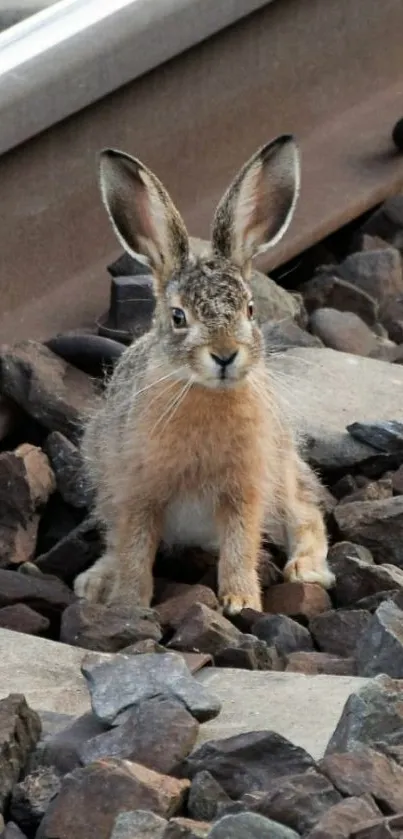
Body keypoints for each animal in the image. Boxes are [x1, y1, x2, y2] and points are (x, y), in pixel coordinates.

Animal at [74, 135, 336, 612]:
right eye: (178, 317)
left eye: (250, 310)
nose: (226, 355)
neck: (201, 392)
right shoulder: (137, 491)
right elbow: (134, 548)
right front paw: (128, 605)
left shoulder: (245, 488)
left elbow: (239, 545)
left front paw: (241, 602)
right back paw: (96, 582)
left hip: (284, 469)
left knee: (306, 512)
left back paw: (306, 569)